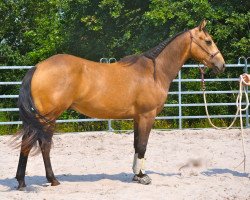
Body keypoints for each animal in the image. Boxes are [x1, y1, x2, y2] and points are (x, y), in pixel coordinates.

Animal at [15, 20, 226, 189]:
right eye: (208, 41)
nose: (221, 64)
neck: (154, 72)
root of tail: (38, 67)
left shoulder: (137, 117)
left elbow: (136, 145)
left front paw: (136, 175)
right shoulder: (147, 115)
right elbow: (142, 145)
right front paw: (142, 177)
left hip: (37, 118)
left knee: (26, 143)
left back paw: (21, 181)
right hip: (48, 117)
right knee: (44, 146)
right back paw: (52, 179)